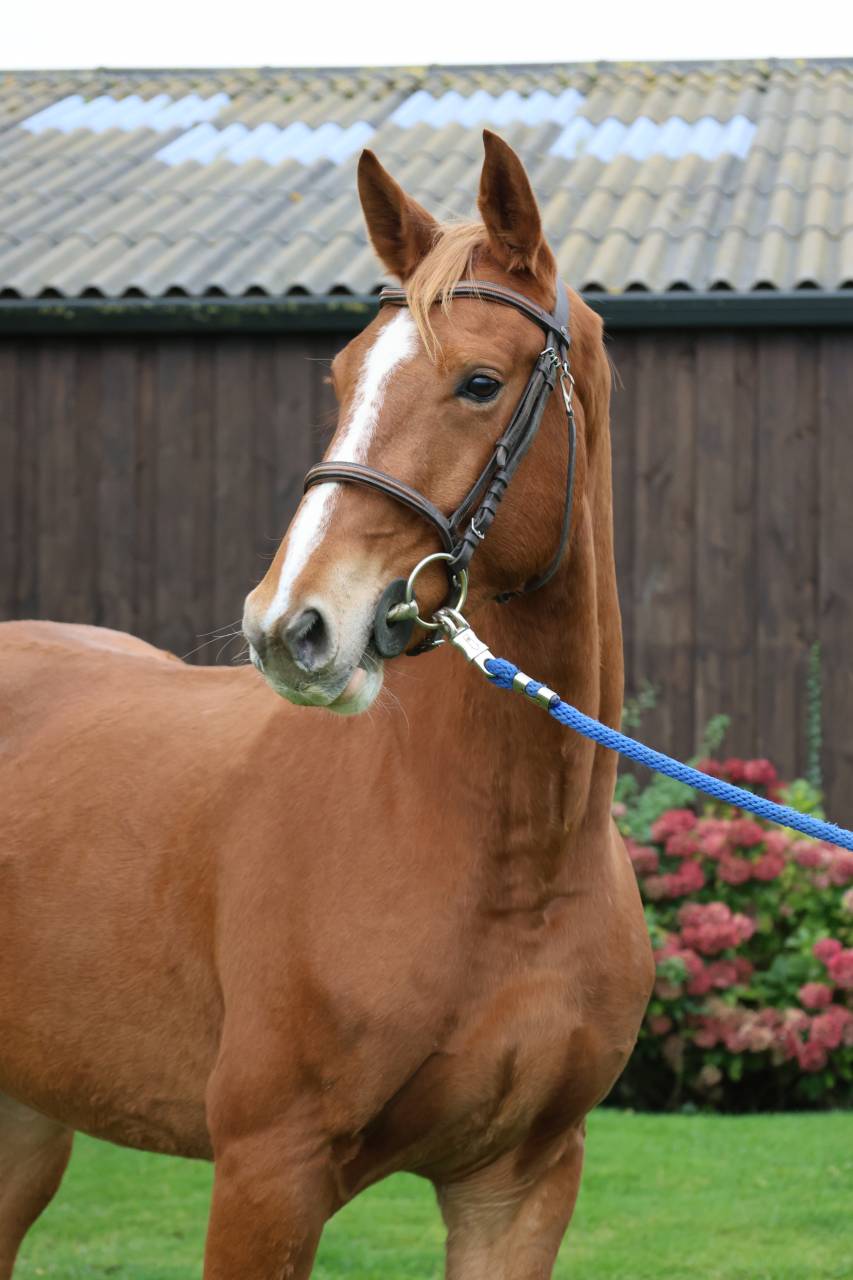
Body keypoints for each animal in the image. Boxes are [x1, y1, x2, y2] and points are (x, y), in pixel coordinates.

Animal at [0, 131, 654, 1278]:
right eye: (343, 376)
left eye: (479, 382)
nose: (288, 626)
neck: (507, 858)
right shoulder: (269, 1174)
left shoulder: (518, 1186)